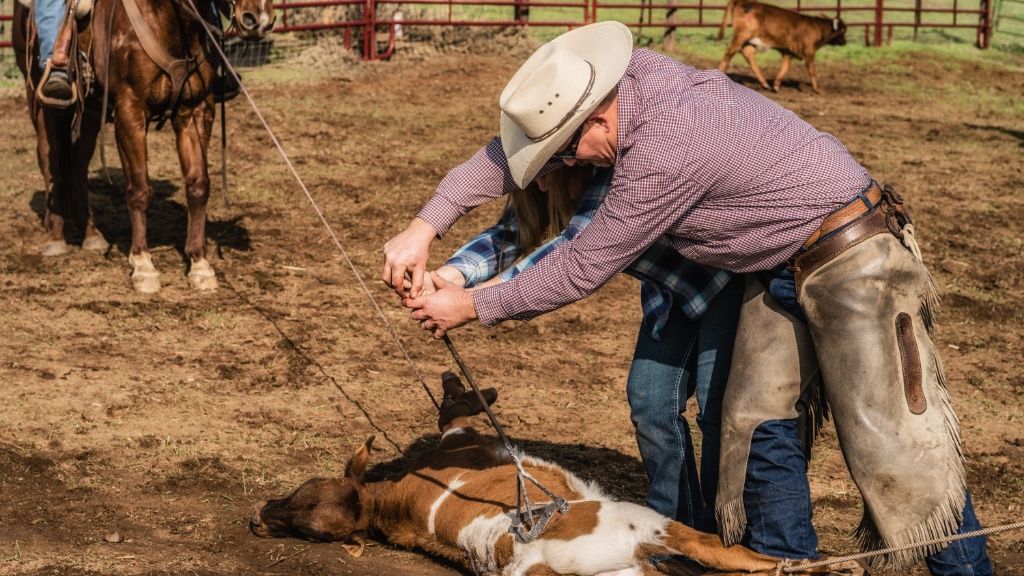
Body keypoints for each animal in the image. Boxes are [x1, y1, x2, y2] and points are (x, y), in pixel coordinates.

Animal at [14, 0, 276, 289]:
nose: (259, 20)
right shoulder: (131, 110)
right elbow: (139, 189)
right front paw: (143, 265)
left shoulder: (196, 109)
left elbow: (198, 185)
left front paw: (199, 264)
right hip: (41, 102)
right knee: (51, 162)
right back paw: (55, 236)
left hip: (90, 111)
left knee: (79, 164)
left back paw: (91, 233)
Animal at [251, 373, 802, 573]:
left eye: (305, 492)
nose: (258, 518)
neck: (391, 501)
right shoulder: (460, 439)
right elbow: (454, 413)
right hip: (651, 525)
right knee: (737, 557)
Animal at [712, 1, 847, 93]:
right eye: (843, 30)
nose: (845, 42)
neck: (817, 27)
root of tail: (742, 2)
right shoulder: (809, 51)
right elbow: (811, 70)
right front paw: (817, 89)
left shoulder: (788, 52)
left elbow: (785, 67)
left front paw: (776, 85)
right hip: (741, 36)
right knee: (730, 51)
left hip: (749, 40)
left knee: (748, 54)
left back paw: (765, 83)